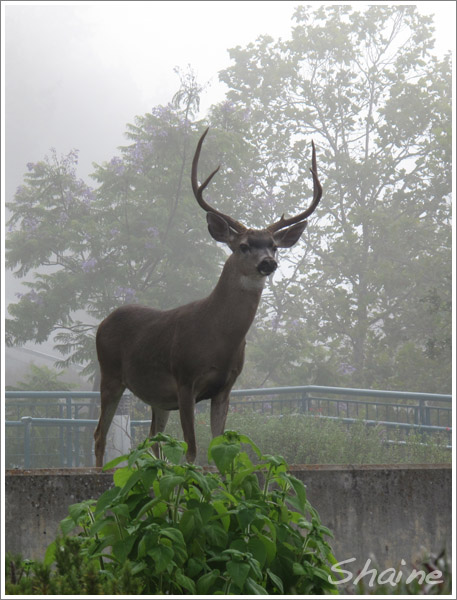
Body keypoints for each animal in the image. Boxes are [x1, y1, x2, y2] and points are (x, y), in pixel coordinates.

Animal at [93, 127, 320, 464]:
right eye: (243, 246)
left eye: (274, 246)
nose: (268, 262)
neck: (218, 338)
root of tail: (103, 322)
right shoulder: (185, 378)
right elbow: (191, 451)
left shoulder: (225, 387)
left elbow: (218, 446)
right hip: (109, 373)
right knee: (100, 434)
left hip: (157, 398)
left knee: (153, 440)